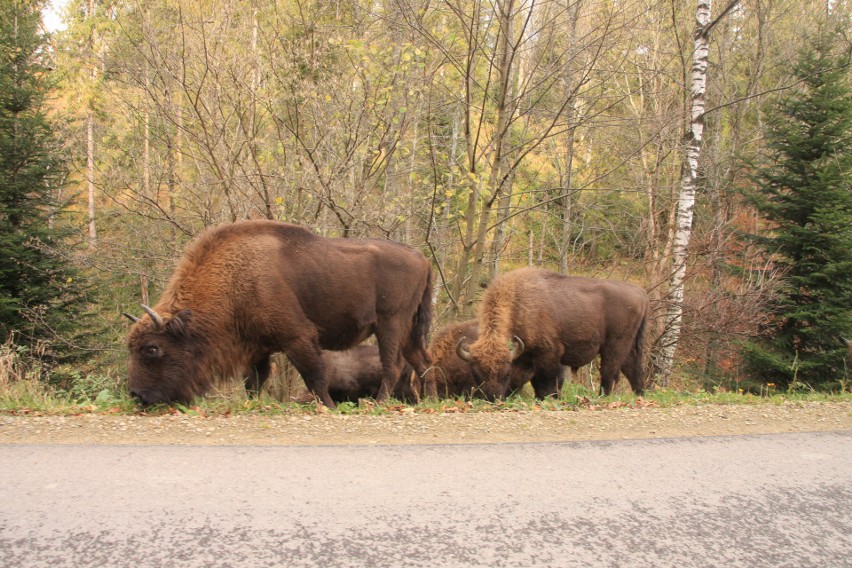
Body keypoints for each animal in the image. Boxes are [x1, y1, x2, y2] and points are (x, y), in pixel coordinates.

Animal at [125, 219, 432, 408]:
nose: (137, 395)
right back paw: (432, 399)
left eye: (152, 349)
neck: (235, 277)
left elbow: (314, 376)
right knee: (422, 361)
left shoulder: (298, 338)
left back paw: (379, 403)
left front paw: (329, 407)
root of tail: (422, 258)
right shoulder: (257, 348)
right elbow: (254, 382)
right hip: (407, 328)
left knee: (393, 365)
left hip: (390, 324)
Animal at [456, 268, 648, 402]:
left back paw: (603, 397)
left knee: (610, 372)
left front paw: (550, 399)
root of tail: (641, 292)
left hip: (614, 345)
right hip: (629, 346)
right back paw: (640, 396)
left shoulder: (548, 355)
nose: (492, 398)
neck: (518, 302)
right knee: (633, 370)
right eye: (477, 375)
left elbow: (548, 384)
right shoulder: (525, 357)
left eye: (505, 373)